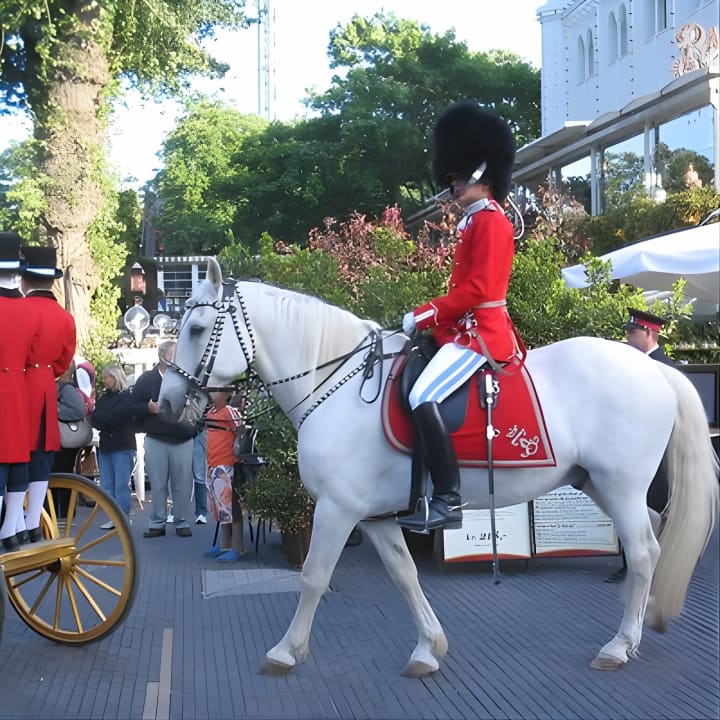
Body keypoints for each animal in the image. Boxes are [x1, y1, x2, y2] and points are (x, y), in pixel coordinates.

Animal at [162, 258, 720, 676]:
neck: (338, 383)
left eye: (197, 328)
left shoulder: (338, 510)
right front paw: (429, 649)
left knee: (644, 550)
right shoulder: (376, 517)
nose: (166, 404)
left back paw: (618, 645)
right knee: (651, 536)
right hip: (600, 484)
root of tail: (653, 369)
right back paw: (637, 629)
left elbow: (314, 576)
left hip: (621, 485)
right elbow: (405, 575)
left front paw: (285, 651)